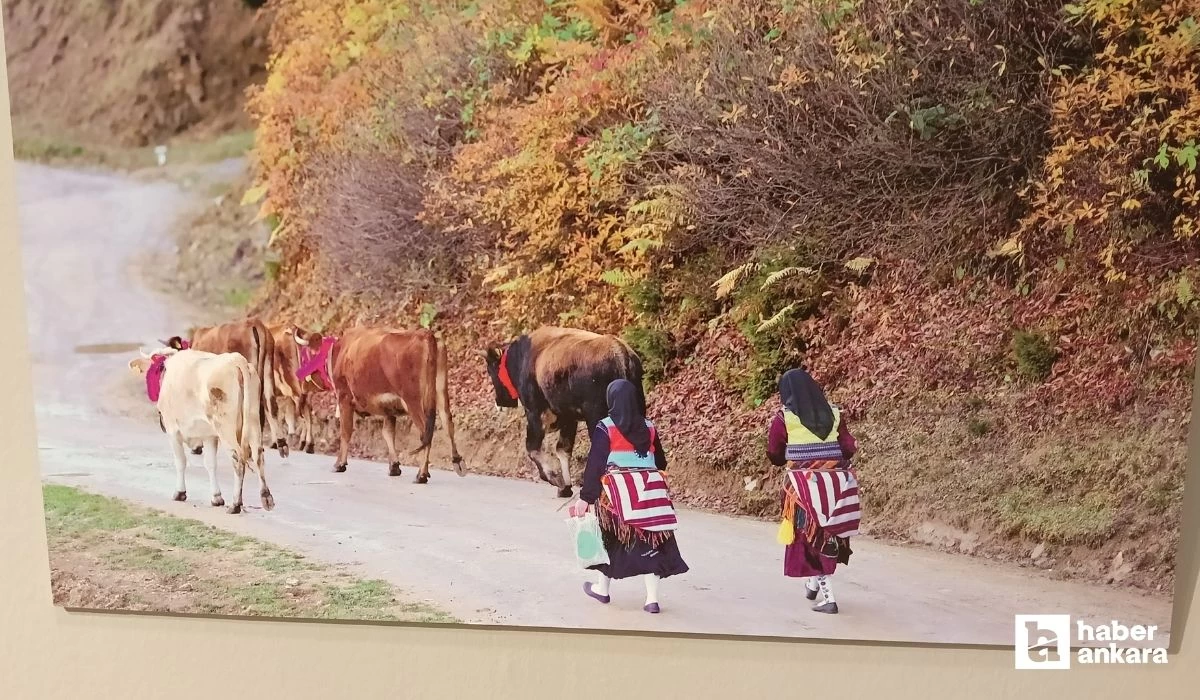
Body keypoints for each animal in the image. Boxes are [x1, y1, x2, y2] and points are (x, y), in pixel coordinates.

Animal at [129, 345, 274, 513]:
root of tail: (236, 359)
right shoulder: (209, 436)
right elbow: (210, 464)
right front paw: (216, 497)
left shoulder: (173, 431)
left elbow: (180, 461)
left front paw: (180, 493)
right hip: (253, 420)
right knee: (258, 456)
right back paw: (266, 498)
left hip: (225, 427)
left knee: (238, 459)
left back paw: (235, 504)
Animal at [267, 324, 331, 453]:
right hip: (303, 388)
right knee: (306, 411)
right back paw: (306, 443)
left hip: (293, 387)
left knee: (304, 413)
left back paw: (306, 443)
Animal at [292, 326, 465, 482]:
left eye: (305, 356)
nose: (299, 378)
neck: (340, 352)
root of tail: (424, 333)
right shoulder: (389, 408)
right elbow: (387, 433)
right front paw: (394, 467)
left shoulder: (344, 397)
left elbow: (345, 431)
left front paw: (339, 464)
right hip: (440, 392)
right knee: (447, 423)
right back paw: (457, 462)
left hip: (413, 400)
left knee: (425, 432)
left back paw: (421, 474)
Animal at [482, 326, 643, 499]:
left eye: (491, 369)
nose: (499, 402)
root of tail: (621, 353)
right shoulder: (569, 418)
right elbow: (563, 449)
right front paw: (565, 487)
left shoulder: (535, 412)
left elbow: (532, 448)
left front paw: (554, 478)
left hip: (596, 414)